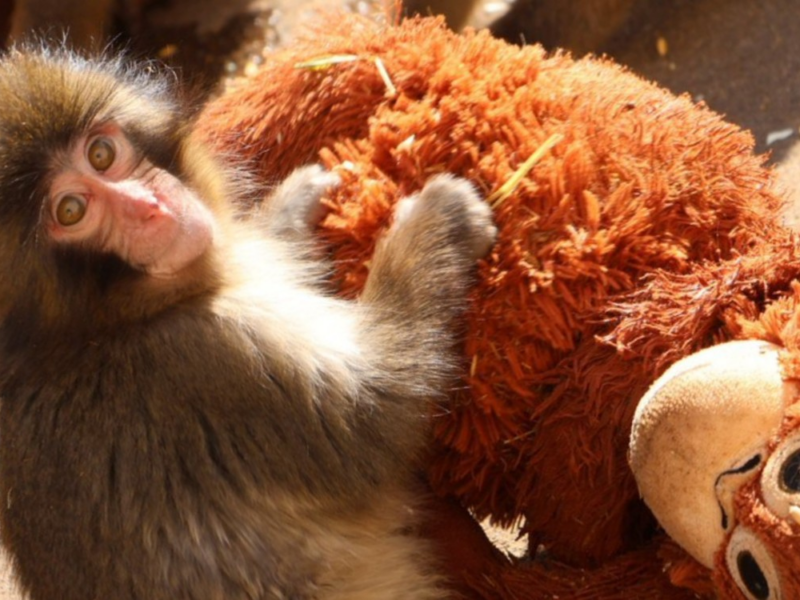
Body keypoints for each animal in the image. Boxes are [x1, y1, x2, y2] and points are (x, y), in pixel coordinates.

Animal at [0, 45, 497, 600]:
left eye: (101, 154)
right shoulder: (206, 358)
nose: (151, 208)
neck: (88, 332)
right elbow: (376, 411)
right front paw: (438, 219)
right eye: (70, 210)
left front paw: (290, 206)